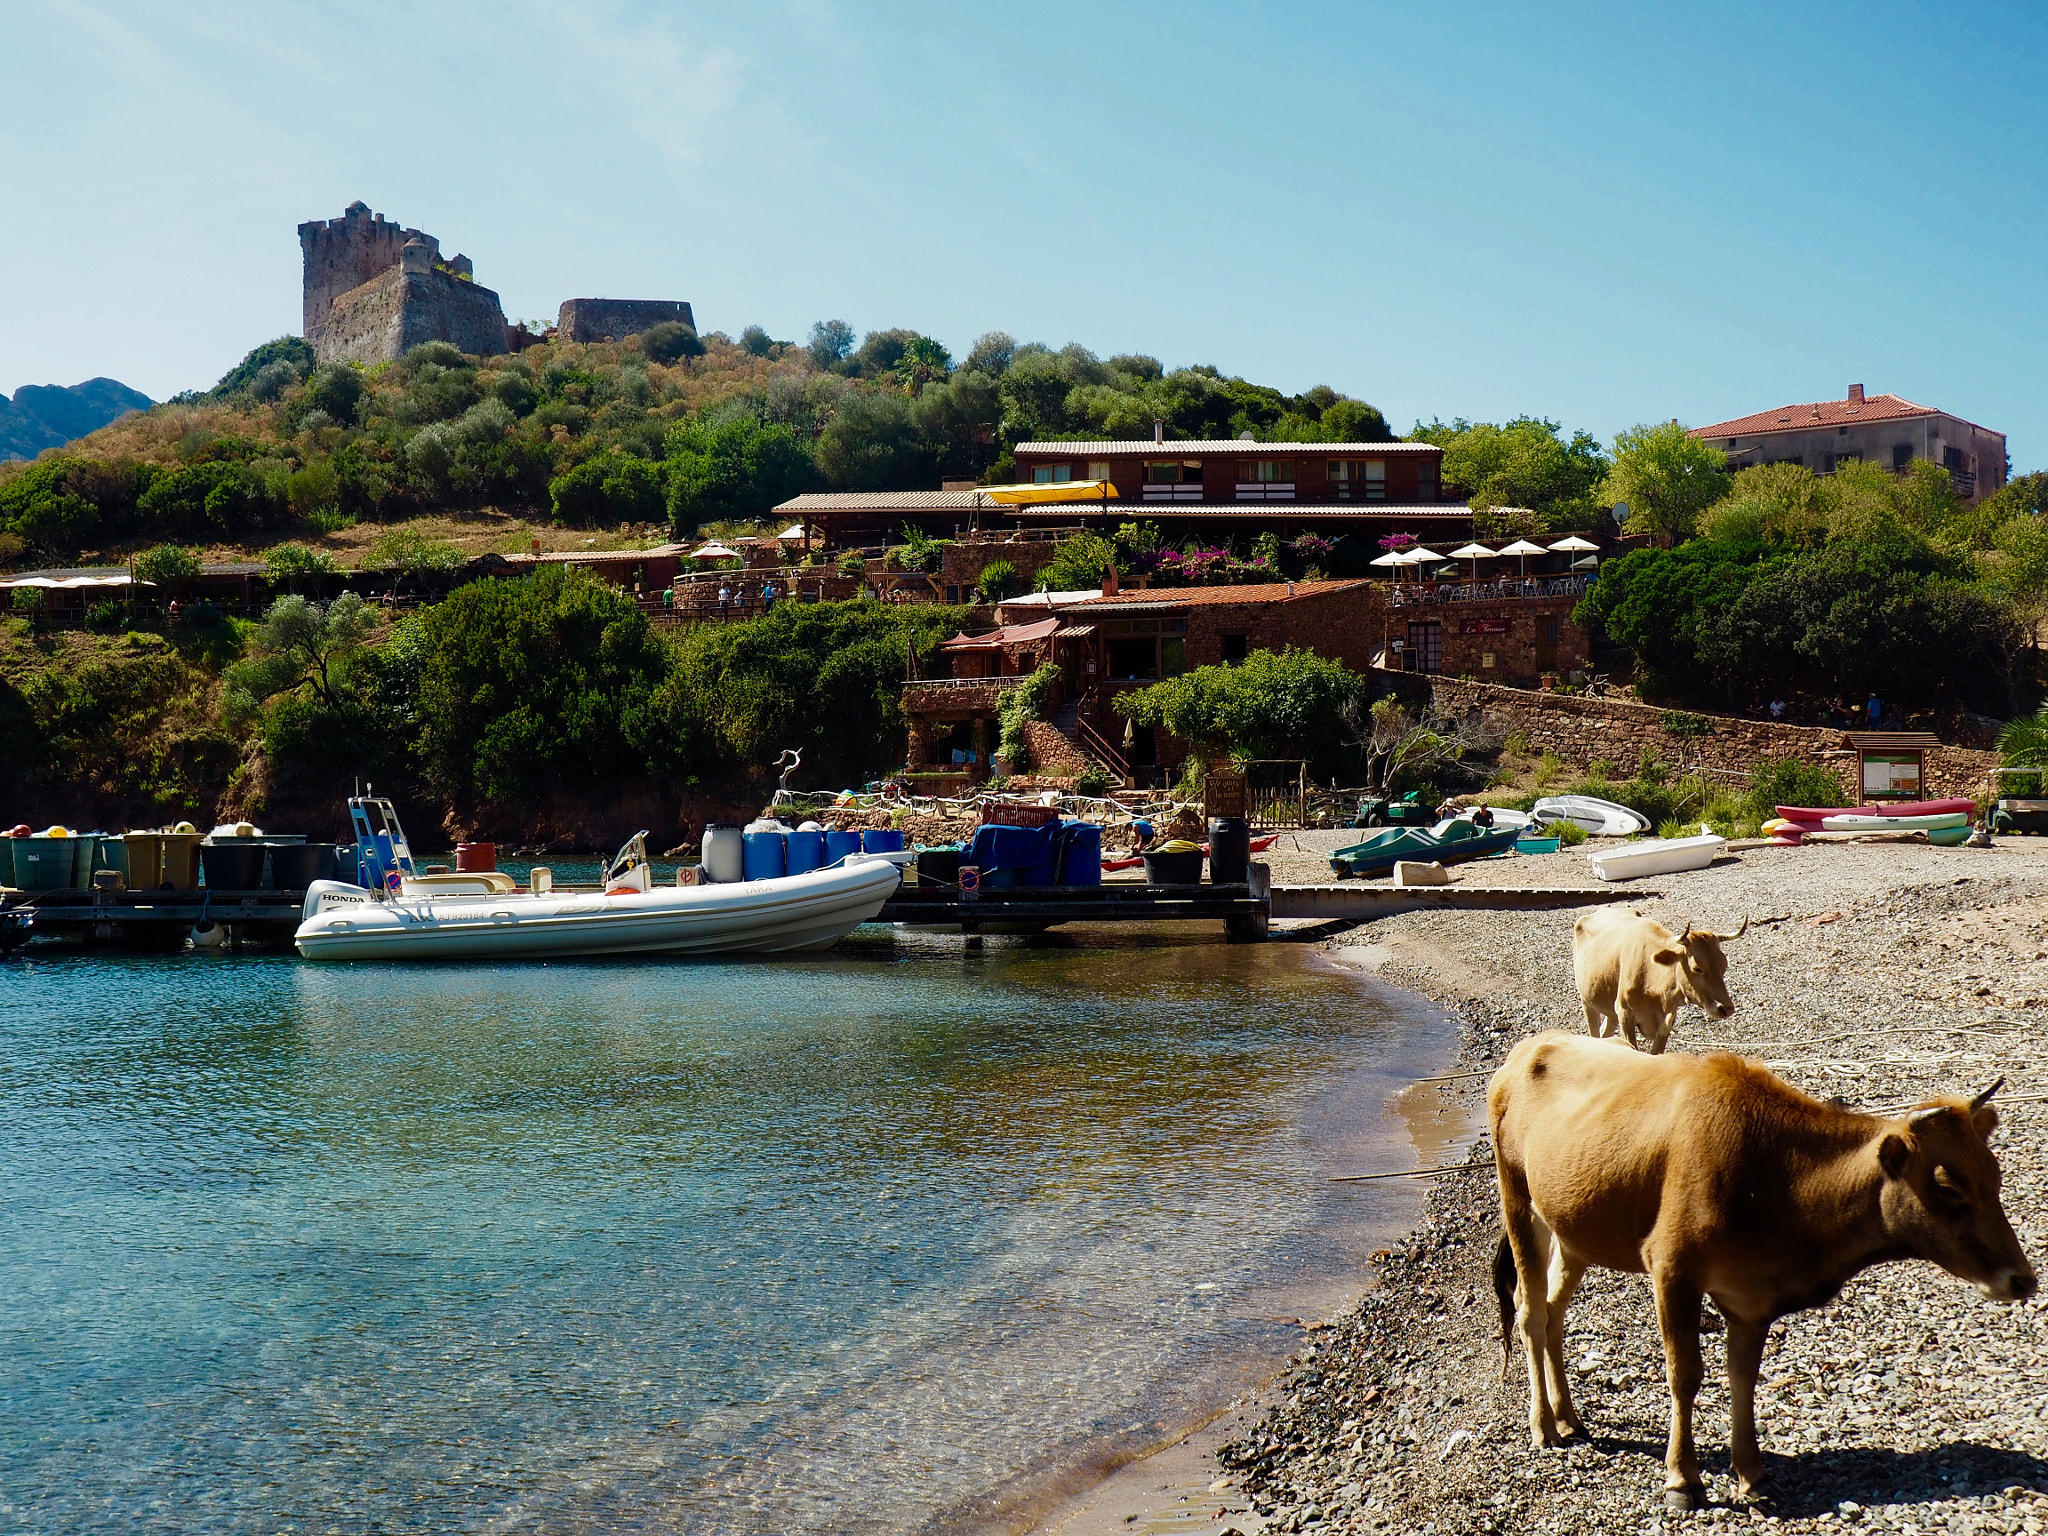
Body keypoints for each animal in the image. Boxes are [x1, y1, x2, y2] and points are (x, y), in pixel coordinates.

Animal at [1489, 1032, 2034, 1510]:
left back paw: (1569, 1418)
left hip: (1573, 1232)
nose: (2023, 1279)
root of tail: (1527, 1049)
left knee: (1554, 1313)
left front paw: (1751, 1473)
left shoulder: (1751, 1299)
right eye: (1947, 1185)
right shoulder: (1673, 1269)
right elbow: (1685, 1375)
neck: (1775, 1174)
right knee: (1530, 1313)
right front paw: (1682, 1479)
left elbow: (1743, 1376)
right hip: (1518, 1201)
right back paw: (1544, 1426)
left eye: (1994, 1173)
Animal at [1572, 907, 1746, 1054]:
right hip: (1587, 1001)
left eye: (1724, 965)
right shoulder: (1624, 1013)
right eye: (1697, 968)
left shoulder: (1667, 1021)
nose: (1727, 1008)